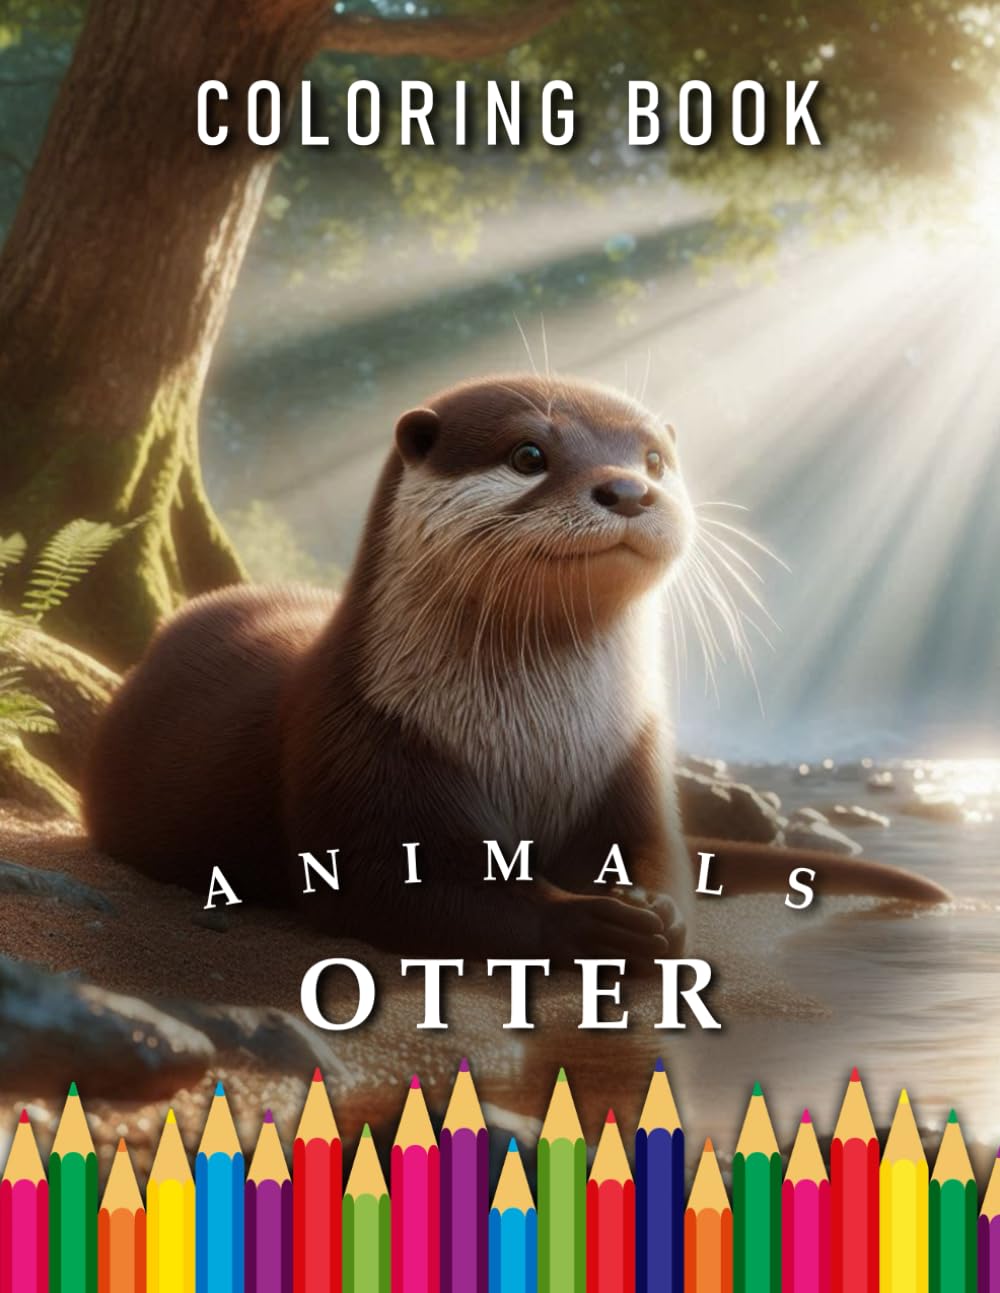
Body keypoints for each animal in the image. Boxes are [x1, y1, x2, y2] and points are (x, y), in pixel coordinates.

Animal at [83, 375, 946, 961]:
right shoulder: (365, 746)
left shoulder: (634, 755)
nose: (628, 488)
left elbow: (658, 849)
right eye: (530, 453)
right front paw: (590, 918)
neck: (536, 743)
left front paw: (656, 909)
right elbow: (398, 888)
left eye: (655, 457)